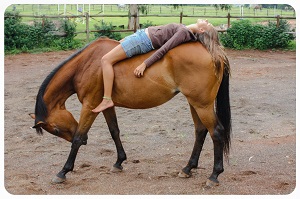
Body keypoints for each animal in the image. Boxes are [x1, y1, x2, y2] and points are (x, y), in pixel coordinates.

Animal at [30, 37, 231, 188]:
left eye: (56, 130)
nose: (88, 142)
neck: (86, 64)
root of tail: (214, 52)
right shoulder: (106, 106)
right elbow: (114, 132)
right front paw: (119, 162)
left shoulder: (89, 106)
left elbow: (78, 138)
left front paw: (63, 171)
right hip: (194, 103)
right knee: (201, 131)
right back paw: (188, 168)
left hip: (202, 105)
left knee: (216, 132)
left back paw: (214, 175)